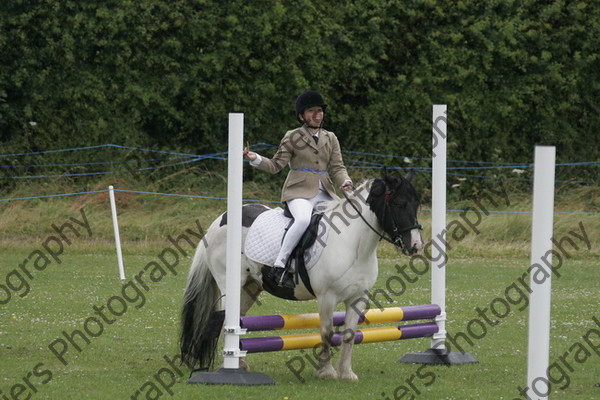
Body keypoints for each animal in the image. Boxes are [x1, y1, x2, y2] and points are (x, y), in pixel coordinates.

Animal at [180, 172, 424, 382]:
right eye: (399, 204)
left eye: (417, 205)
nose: (416, 246)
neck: (353, 244)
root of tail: (219, 220)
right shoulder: (327, 297)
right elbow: (326, 333)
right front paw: (326, 371)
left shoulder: (358, 297)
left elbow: (349, 334)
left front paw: (346, 373)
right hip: (230, 284)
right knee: (225, 323)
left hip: (250, 288)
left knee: (236, 320)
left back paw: (241, 364)